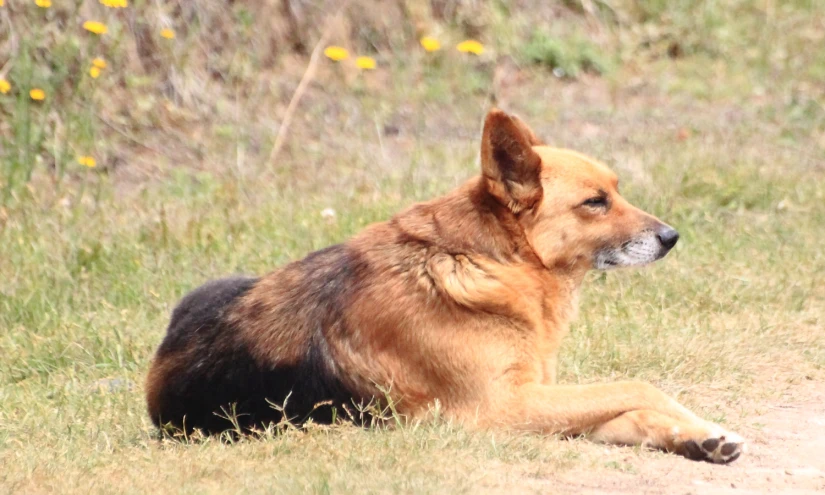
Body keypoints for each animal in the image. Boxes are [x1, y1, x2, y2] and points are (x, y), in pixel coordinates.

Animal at [148, 108, 748, 464]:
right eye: (595, 202)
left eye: (617, 191)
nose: (672, 237)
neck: (487, 260)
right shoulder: (504, 408)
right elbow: (638, 386)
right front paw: (696, 423)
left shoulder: (541, 400)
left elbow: (630, 408)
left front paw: (697, 437)